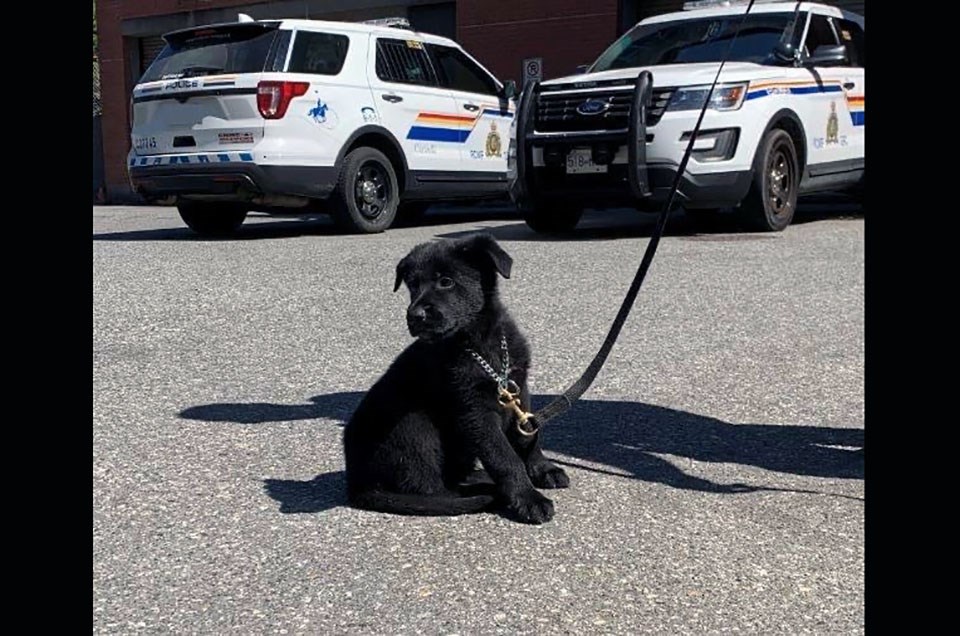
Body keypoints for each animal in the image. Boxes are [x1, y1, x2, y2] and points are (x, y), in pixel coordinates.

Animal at [344, 234, 568, 520]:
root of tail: (357, 484)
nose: (415, 316)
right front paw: (527, 497)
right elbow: (503, 456)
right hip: (412, 423)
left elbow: (527, 434)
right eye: (412, 285)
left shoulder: (519, 389)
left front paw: (542, 469)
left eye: (446, 281)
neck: (479, 344)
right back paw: (489, 492)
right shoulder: (475, 410)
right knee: (432, 489)